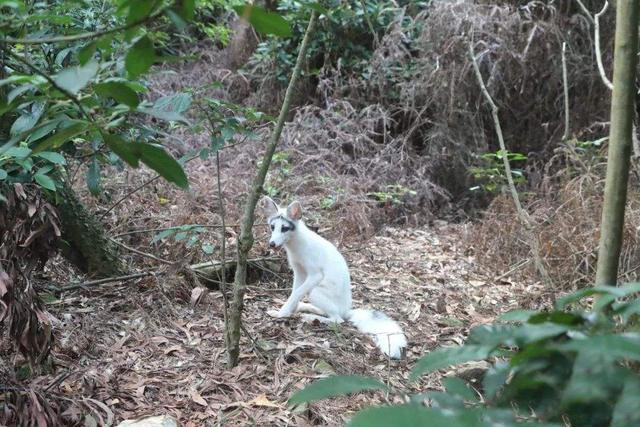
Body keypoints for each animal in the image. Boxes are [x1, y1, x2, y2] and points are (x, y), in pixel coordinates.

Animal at [262, 196, 408, 358]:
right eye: (272, 227)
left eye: (284, 228)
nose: (272, 244)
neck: (296, 245)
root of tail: (347, 310)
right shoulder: (299, 272)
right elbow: (294, 293)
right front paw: (288, 311)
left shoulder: (315, 275)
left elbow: (297, 293)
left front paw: (282, 313)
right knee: (328, 313)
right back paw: (306, 309)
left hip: (314, 292)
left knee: (338, 320)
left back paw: (311, 318)